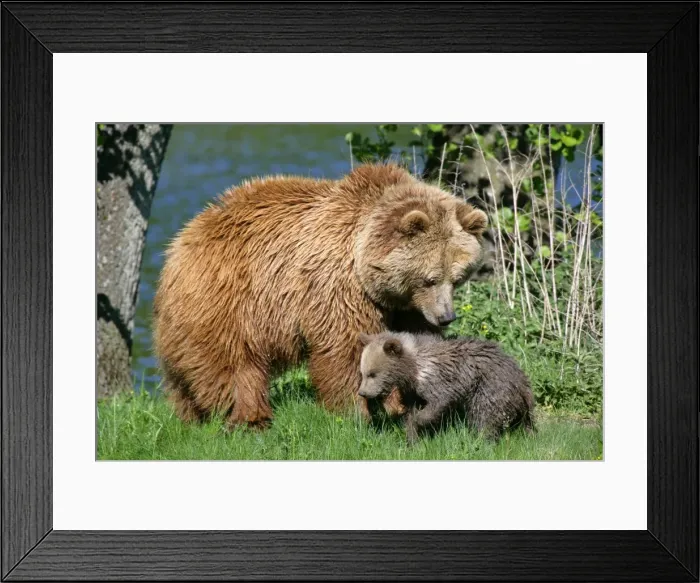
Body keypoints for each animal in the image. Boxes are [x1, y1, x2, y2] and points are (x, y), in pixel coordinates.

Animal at [152, 162, 488, 429]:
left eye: (458, 278)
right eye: (430, 278)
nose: (446, 316)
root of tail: (182, 238)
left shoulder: (404, 307)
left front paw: (402, 404)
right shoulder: (338, 285)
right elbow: (346, 348)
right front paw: (356, 412)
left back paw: (190, 416)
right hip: (227, 300)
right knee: (233, 366)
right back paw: (248, 419)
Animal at [358, 331, 535, 444]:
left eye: (372, 374)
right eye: (363, 372)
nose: (362, 393)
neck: (412, 369)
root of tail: (521, 379)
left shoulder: (439, 380)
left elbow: (438, 402)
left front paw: (418, 423)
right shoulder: (411, 391)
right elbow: (410, 411)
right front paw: (412, 439)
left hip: (490, 385)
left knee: (484, 413)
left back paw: (481, 440)